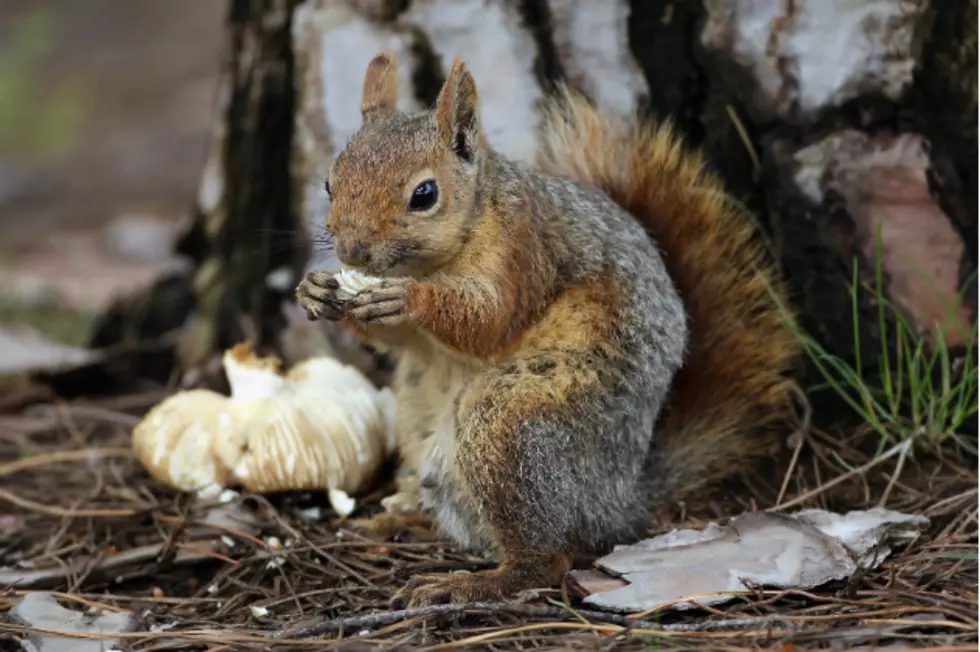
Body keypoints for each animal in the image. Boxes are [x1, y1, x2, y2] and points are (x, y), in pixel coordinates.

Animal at [294, 52, 800, 612]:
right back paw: (401, 520)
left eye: (424, 194)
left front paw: (409, 299)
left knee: (547, 558)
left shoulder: (523, 252)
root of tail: (618, 498)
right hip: (418, 418)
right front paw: (316, 291)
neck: (437, 257)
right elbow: (403, 340)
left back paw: (475, 582)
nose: (351, 251)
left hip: (514, 424)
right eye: (330, 183)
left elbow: (489, 323)